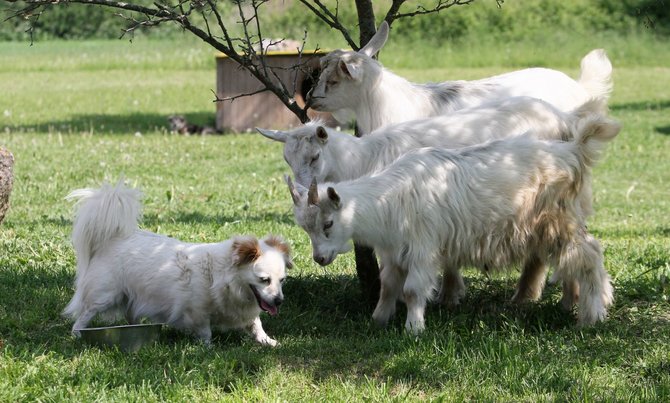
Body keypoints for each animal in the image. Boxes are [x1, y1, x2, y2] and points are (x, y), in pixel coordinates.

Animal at [63, 181, 292, 348]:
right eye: (264, 280)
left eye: (282, 281)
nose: (279, 301)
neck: (223, 278)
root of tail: (114, 238)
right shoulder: (197, 311)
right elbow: (205, 330)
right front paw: (207, 348)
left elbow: (256, 324)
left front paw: (268, 341)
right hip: (104, 296)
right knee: (83, 315)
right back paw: (76, 335)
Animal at [286, 115, 624, 332]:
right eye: (305, 228)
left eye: (328, 223)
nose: (319, 258)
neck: (392, 196)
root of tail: (572, 151)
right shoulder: (395, 251)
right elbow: (388, 286)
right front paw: (378, 320)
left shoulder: (423, 248)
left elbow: (412, 290)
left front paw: (413, 329)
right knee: (571, 258)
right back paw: (572, 303)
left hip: (558, 221)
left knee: (588, 254)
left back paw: (592, 314)